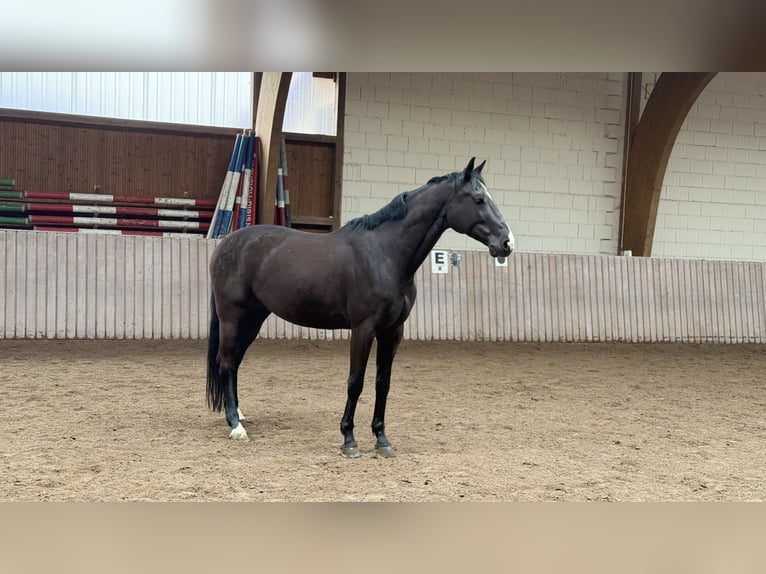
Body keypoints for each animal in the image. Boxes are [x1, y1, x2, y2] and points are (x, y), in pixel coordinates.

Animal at [206, 157, 514, 458]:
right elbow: (356, 382)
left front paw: (382, 439)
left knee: (233, 363)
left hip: (254, 318)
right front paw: (349, 440)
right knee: (227, 362)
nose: (507, 243)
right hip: (232, 317)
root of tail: (228, 243)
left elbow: (383, 383)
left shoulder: (392, 331)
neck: (385, 254)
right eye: (478, 199)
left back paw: (238, 415)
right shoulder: (363, 329)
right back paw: (235, 426)